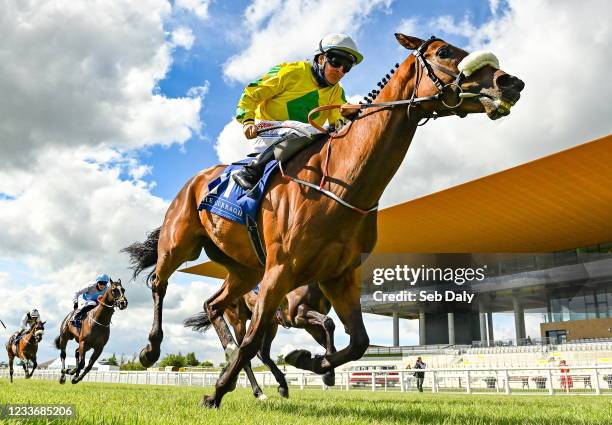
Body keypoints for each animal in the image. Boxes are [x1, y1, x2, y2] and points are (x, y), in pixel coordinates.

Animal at [184, 282, 338, 398]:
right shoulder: (299, 314)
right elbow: (328, 322)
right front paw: (327, 373)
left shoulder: (309, 325)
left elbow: (328, 329)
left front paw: (328, 372)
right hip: (239, 321)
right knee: (245, 355)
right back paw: (259, 392)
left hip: (270, 323)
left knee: (263, 353)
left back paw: (282, 385)